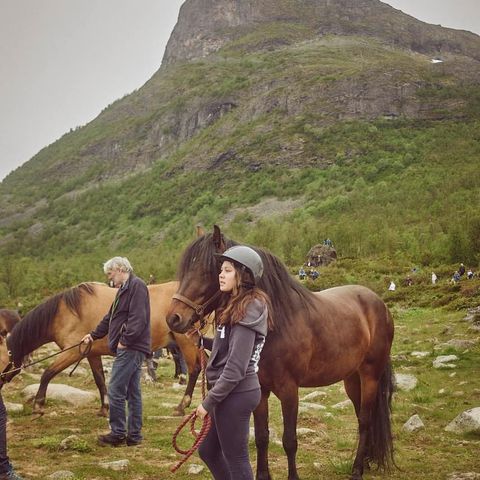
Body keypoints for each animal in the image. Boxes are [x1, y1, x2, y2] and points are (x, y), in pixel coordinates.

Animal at [0, 282, 202, 416]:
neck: (65, 313)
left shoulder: (72, 352)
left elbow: (47, 373)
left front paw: (38, 405)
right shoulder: (91, 353)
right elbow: (100, 380)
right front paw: (104, 408)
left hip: (187, 343)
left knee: (195, 370)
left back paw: (182, 406)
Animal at [167, 226, 396, 480]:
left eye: (208, 270)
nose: (174, 318)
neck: (275, 322)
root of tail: (380, 304)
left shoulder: (289, 390)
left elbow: (289, 441)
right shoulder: (261, 392)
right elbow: (261, 437)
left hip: (370, 376)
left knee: (365, 420)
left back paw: (357, 469)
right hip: (352, 379)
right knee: (361, 416)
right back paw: (364, 462)